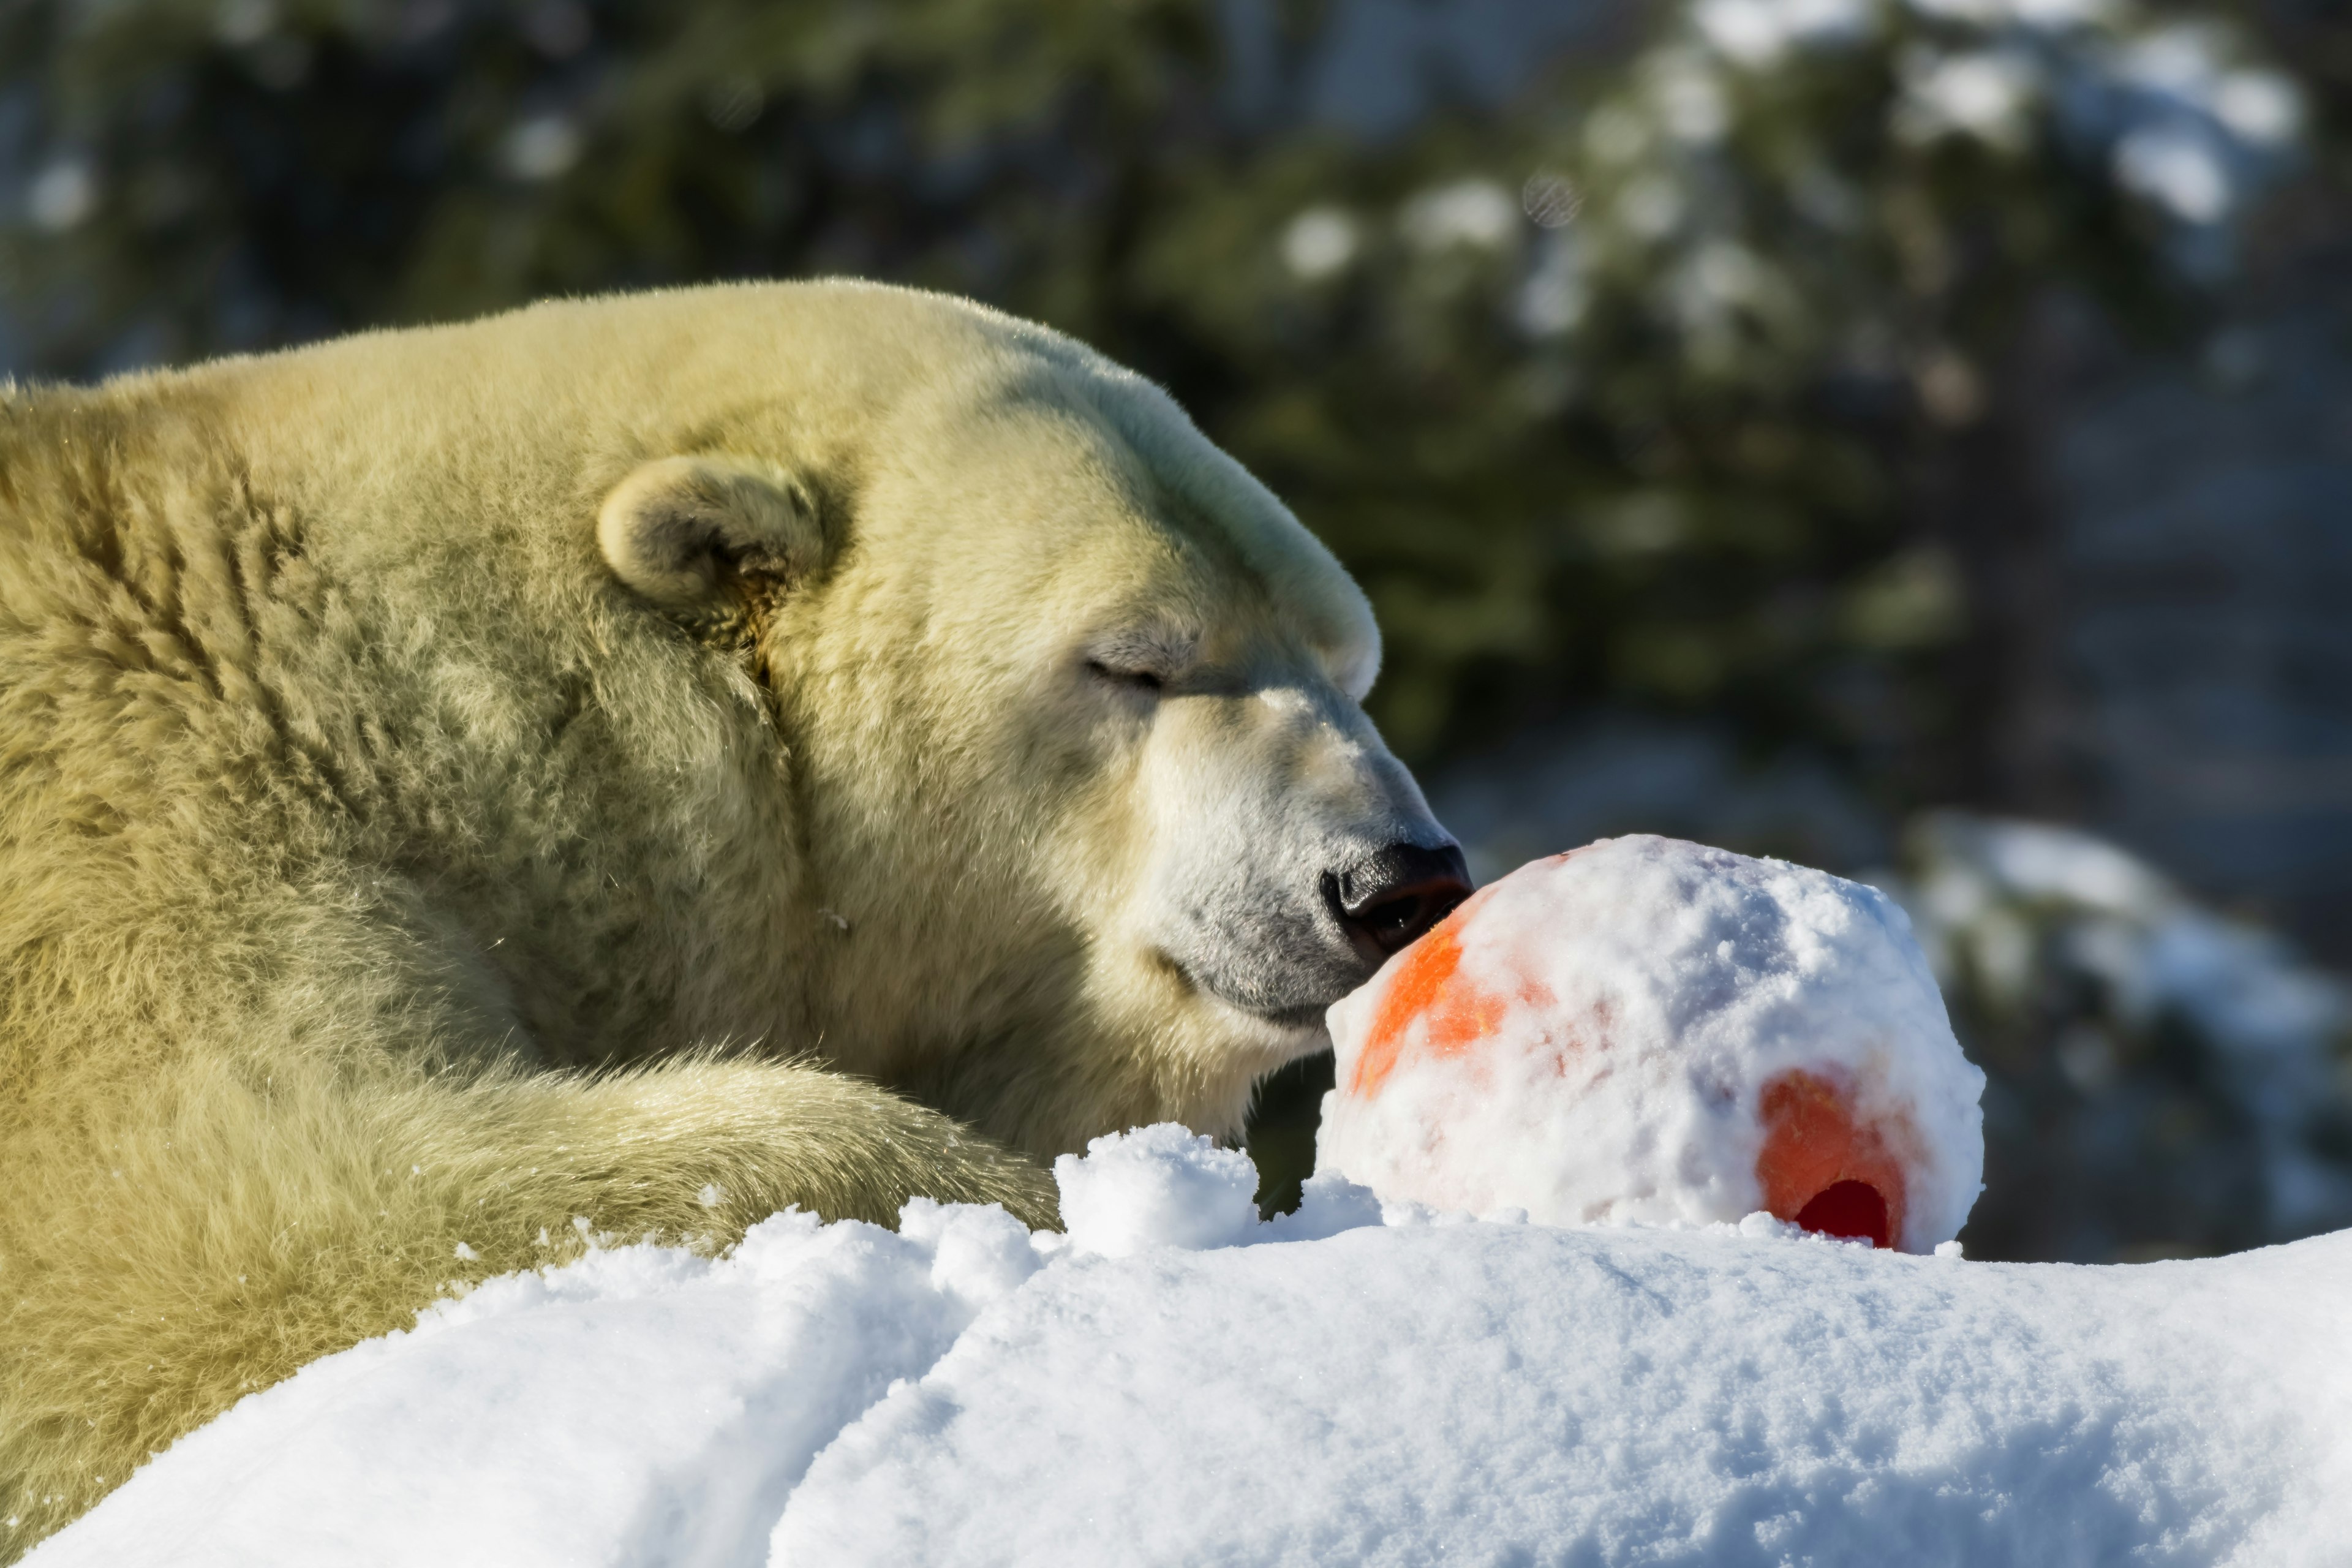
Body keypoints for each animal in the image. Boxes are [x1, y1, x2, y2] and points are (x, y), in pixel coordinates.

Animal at [0, 285, 1468, 1561]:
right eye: (1133, 658)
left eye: (1347, 664)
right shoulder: (145, 847)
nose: (1395, 882)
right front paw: (1029, 1204)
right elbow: (220, 1219)